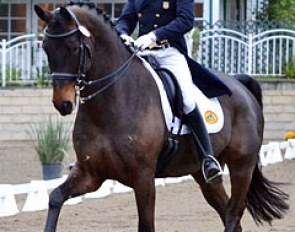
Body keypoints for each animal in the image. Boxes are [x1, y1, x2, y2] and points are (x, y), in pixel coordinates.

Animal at [34, 2, 290, 232]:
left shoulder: (143, 177)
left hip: (241, 166)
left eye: (74, 48)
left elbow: (146, 225)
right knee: (226, 210)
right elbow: (55, 198)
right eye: (45, 47)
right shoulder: (91, 173)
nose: (62, 104)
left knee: (234, 211)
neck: (110, 105)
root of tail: (241, 85)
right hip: (202, 174)